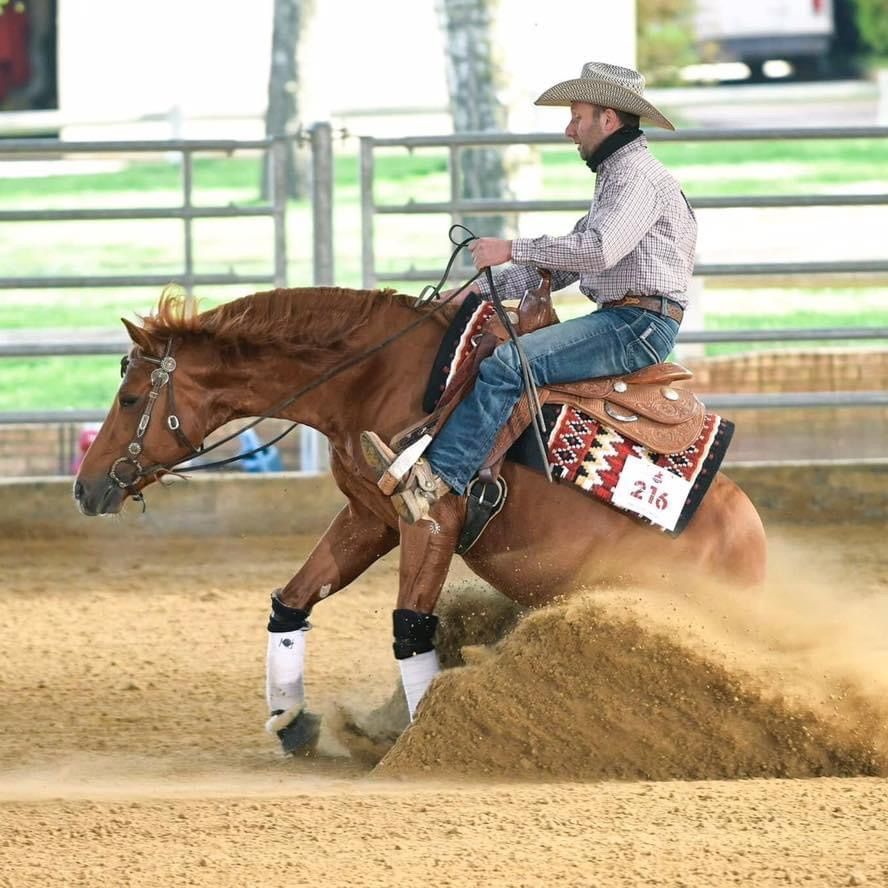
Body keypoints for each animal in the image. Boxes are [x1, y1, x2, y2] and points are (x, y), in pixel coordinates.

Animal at [74, 288, 772, 752]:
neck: (374, 375)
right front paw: (291, 720)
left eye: (129, 398)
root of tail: (753, 547)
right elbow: (293, 602)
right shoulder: (370, 517)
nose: (85, 488)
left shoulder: (431, 520)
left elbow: (410, 628)